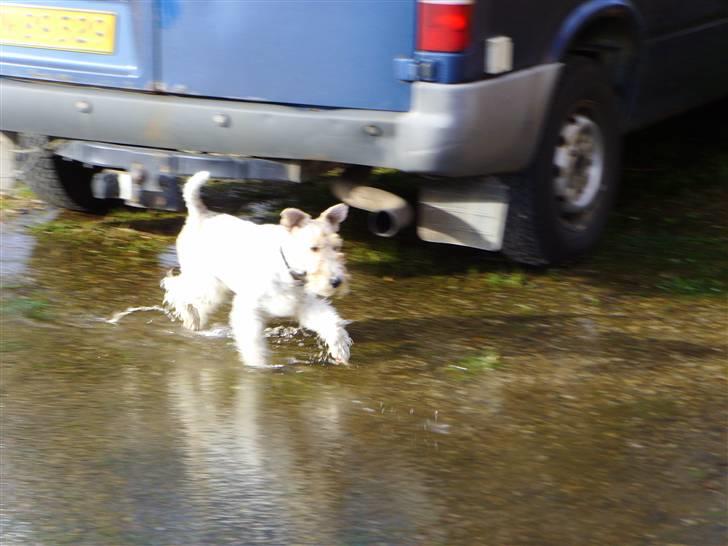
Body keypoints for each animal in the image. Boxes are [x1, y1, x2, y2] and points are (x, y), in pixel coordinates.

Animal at [164, 170, 352, 366]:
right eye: (313, 248)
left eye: (337, 247)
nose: (336, 281)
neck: (288, 269)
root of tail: (200, 215)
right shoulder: (249, 306)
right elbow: (253, 340)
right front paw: (258, 365)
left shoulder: (304, 304)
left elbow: (330, 322)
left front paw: (340, 349)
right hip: (204, 283)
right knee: (175, 288)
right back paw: (189, 317)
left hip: (214, 288)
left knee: (196, 303)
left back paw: (195, 322)